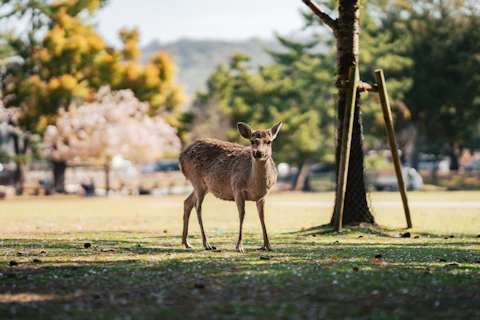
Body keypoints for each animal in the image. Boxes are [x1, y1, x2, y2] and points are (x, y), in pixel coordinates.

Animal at [180, 120, 282, 252]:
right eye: (252, 141)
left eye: (269, 141)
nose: (258, 153)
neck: (255, 185)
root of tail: (180, 157)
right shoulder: (237, 189)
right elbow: (242, 214)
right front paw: (239, 246)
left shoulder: (263, 195)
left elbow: (262, 216)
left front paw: (268, 246)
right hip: (196, 180)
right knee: (198, 207)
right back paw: (206, 244)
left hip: (204, 186)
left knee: (187, 202)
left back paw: (186, 242)